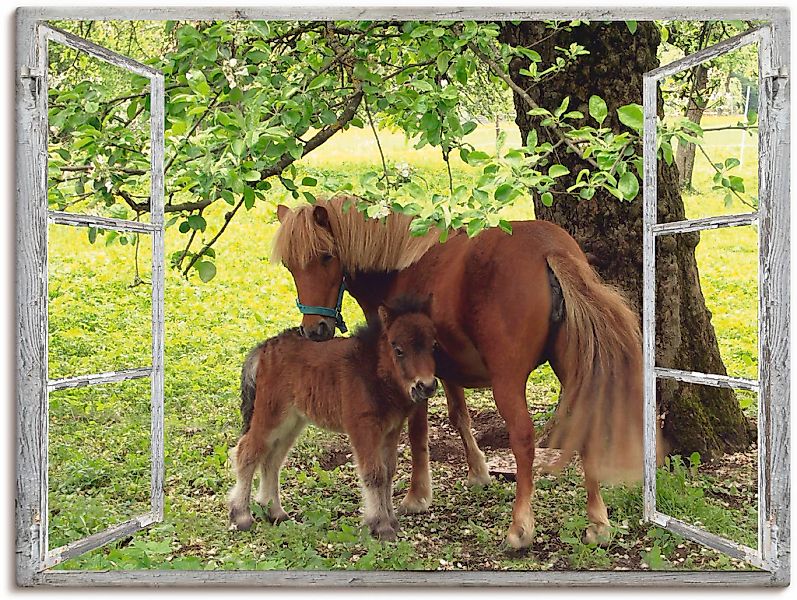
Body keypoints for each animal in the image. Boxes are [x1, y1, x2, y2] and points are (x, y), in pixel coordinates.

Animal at [228, 295, 438, 541]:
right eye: (398, 349)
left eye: (433, 345)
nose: (426, 386)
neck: (373, 370)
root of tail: (264, 348)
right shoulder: (362, 427)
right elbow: (374, 473)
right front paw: (381, 526)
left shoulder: (391, 430)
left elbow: (388, 472)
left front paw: (391, 522)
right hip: (270, 415)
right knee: (247, 452)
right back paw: (241, 516)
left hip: (292, 421)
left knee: (272, 459)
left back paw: (275, 512)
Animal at [272, 195, 646, 549]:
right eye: (290, 266)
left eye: (326, 257)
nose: (314, 330)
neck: (400, 266)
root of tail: (548, 249)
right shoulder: (446, 370)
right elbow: (458, 416)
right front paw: (478, 472)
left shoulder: (412, 378)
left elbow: (418, 433)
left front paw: (417, 495)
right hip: (574, 368)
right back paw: (598, 523)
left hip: (507, 380)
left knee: (523, 439)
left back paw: (520, 528)